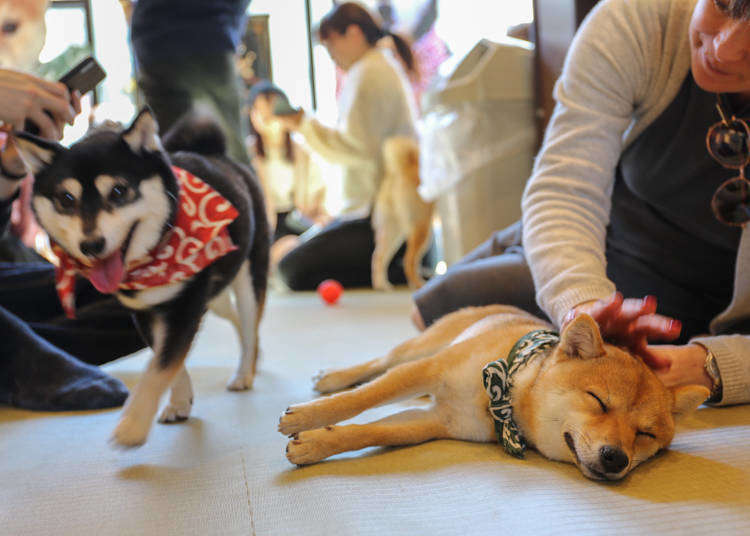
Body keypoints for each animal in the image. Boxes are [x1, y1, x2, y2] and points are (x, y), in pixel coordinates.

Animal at [282, 306, 712, 482]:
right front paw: (305, 417)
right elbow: (357, 401)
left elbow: (372, 431)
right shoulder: (428, 371)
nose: (616, 458)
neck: (503, 401)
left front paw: (314, 444)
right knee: (377, 364)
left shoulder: (435, 423)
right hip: (419, 350)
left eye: (645, 435)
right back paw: (333, 377)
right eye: (598, 400)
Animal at [372, 136, 434, 292]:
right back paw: (419, 284)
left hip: (393, 230)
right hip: (422, 226)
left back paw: (382, 285)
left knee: (378, 256)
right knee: (409, 261)